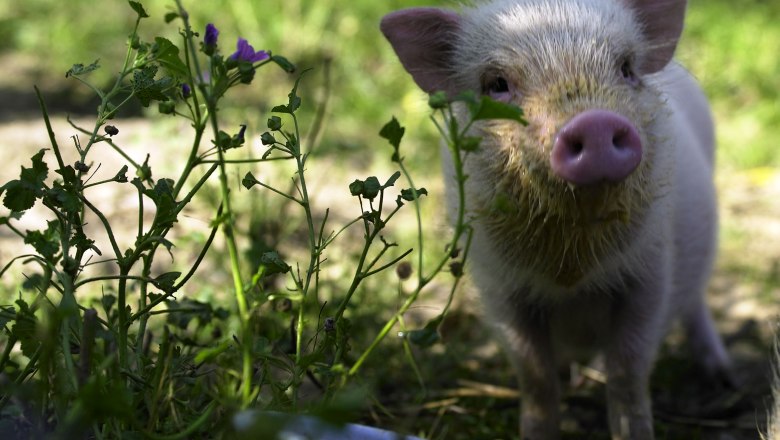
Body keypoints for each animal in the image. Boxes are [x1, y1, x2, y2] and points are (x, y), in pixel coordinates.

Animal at [382, 0, 732, 440]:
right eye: (497, 84)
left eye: (626, 68)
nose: (595, 122)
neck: (571, 273)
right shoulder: (502, 291)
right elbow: (535, 376)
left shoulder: (650, 273)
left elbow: (628, 370)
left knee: (697, 302)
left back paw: (722, 376)